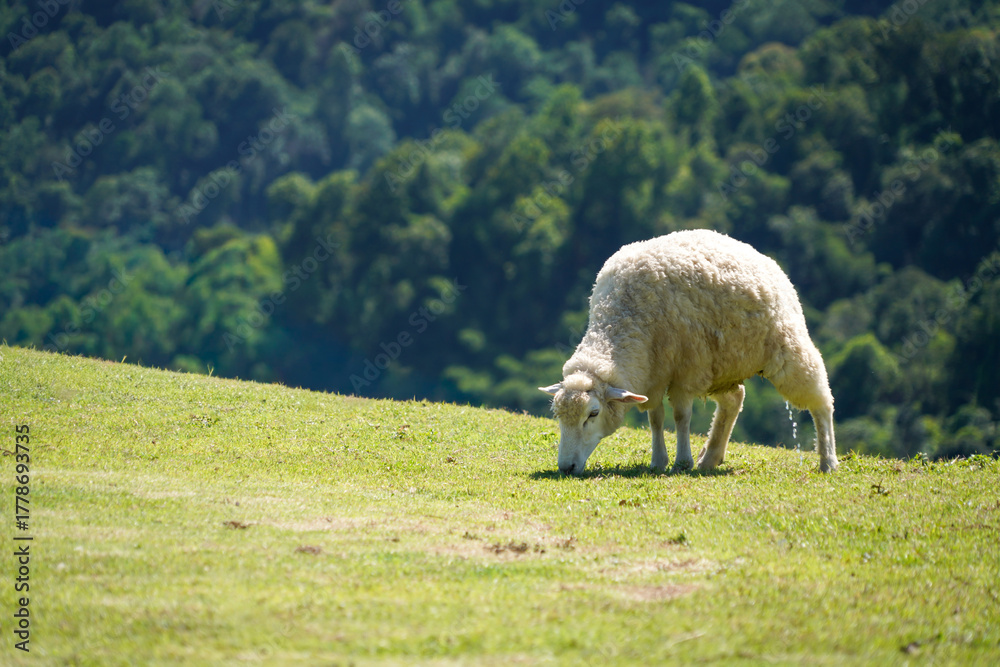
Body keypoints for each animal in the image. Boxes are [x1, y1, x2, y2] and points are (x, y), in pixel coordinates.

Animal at [540, 229, 838, 475]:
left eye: (593, 414)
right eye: (558, 416)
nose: (566, 468)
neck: (621, 320)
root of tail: (762, 258)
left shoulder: (686, 370)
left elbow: (681, 417)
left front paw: (683, 462)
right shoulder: (654, 374)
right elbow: (655, 418)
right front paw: (658, 461)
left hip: (786, 349)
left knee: (821, 401)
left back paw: (828, 461)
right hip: (722, 366)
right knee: (734, 400)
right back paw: (711, 457)